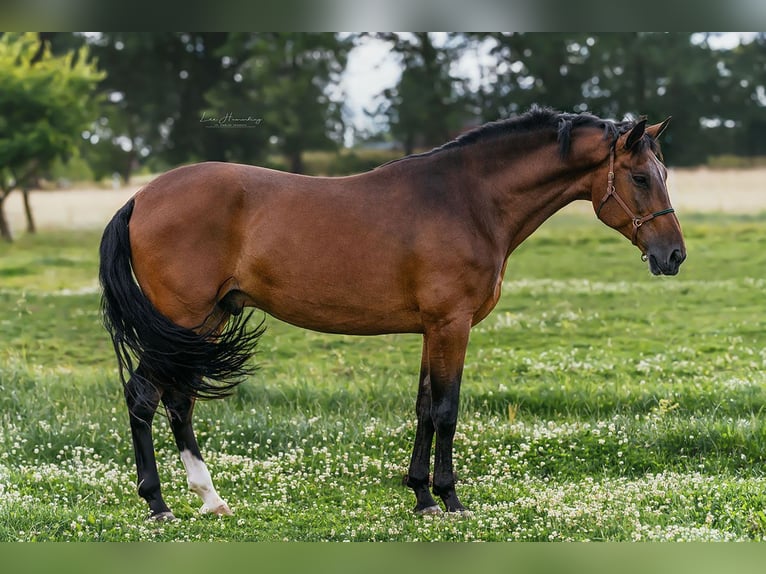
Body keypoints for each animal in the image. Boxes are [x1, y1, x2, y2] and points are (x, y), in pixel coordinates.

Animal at [99, 108, 688, 520]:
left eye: (664, 174)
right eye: (640, 177)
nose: (673, 255)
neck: (468, 199)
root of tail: (141, 198)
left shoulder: (433, 328)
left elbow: (425, 407)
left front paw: (421, 495)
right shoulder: (451, 325)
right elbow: (447, 410)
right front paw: (450, 499)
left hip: (205, 322)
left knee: (177, 401)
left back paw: (209, 498)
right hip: (184, 321)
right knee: (146, 396)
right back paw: (158, 503)